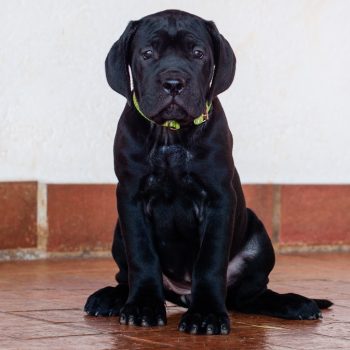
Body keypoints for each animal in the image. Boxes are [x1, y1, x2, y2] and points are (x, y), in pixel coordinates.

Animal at [84, 9, 330, 334]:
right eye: (147, 54)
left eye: (198, 54)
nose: (173, 82)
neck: (171, 135)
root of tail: (181, 293)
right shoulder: (131, 199)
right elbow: (142, 257)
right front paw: (143, 307)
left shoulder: (218, 199)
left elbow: (210, 262)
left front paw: (206, 315)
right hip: (117, 233)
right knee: (125, 277)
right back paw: (111, 298)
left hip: (258, 236)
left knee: (251, 294)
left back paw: (294, 304)